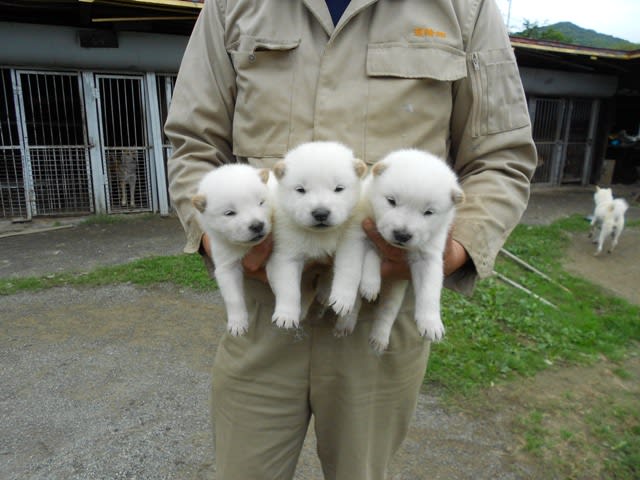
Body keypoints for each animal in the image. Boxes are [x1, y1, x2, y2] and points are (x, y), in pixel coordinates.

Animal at [190, 163, 270, 336]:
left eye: (261, 202)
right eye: (229, 213)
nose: (257, 225)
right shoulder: (225, 264)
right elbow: (233, 297)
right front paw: (237, 323)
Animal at [264, 141, 364, 332]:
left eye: (338, 188)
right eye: (300, 189)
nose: (321, 213)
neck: (320, 235)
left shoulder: (350, 239)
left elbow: (348, 268)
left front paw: (343, 299)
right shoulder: (286, 251)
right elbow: (288, 286)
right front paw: (286, 316)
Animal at [360, 150, 464, 352]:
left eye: (428, 212)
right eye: (391, 201)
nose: (402, 234)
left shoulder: (429, 255)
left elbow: (430, 289)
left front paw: (431, 323)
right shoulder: (366, 228)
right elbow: (371, 253)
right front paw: (370, 283)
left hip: (396, 288)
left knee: (388, 309)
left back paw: (379, 337)